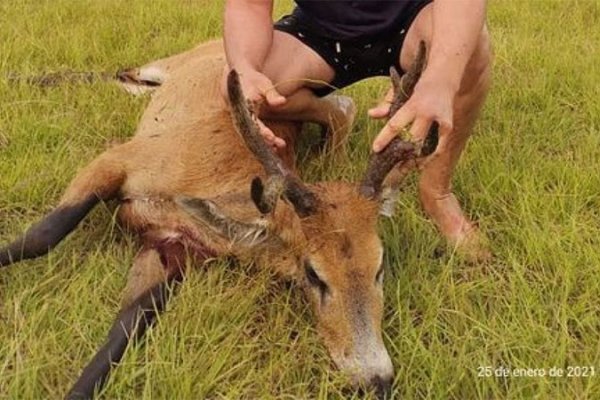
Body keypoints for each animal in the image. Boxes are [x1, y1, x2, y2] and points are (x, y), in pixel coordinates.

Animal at [0, 39, 436, 398]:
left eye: (380, 267)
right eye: (314, 274)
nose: (377, 379)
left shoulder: (170, 248)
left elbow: (117, 341)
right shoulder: (119, 158)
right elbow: (43, 234)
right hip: (172, 63)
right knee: (126, 70)